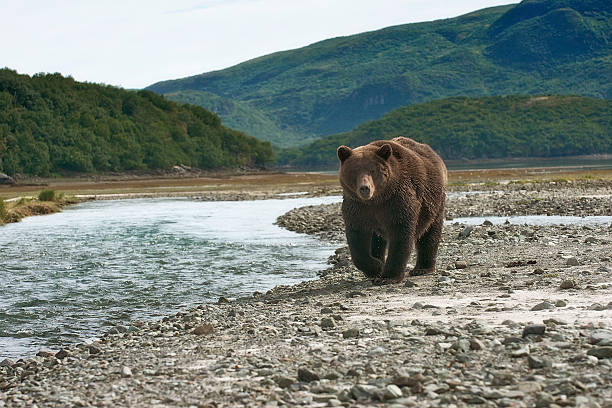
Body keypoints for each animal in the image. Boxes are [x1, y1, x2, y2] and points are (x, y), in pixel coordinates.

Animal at [338, 137, 448, 284]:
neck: (376, 199)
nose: (365, 188)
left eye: (373, 170)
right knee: (377, 240)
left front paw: (388, 276)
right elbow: (357, 237)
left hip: (434, 202)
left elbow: (401, 232)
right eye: (354, 170)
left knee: (430, 231)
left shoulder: (397, 201)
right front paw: (376, 268)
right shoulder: (357, 207)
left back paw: (422, 268)